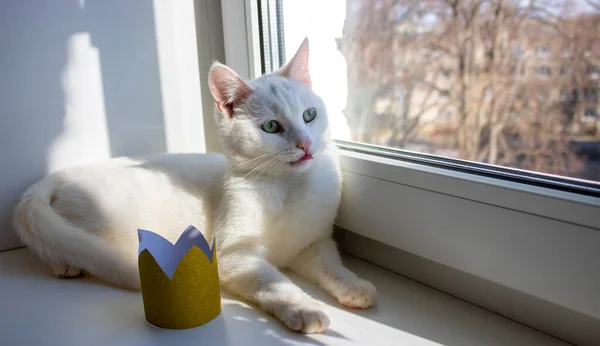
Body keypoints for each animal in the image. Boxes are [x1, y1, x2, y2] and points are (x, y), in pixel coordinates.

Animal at [14, 39, 376, 334]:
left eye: (310, 115)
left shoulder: (313, 244)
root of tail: (68, 172)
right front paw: (305, 308)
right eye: (272, 127)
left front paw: (353, 286)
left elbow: (331, 266)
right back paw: (68, 263)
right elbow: (274, 282)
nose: (305, 144)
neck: (288, 187)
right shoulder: (235, 255)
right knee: (68, 241)